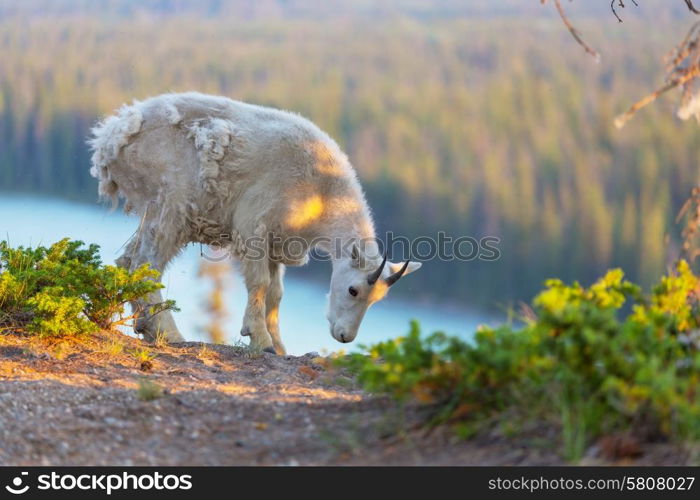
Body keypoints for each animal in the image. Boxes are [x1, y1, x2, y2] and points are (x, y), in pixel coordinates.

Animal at [91, 92, 422, 354]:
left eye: (377, 300)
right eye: (353, 290)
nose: (344, 336)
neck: (322, 191)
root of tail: (110, 138)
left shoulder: (278, 242)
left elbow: (276, 293)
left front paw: (280, 345)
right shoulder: (254, 227)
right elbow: (260, 284)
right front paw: (261, 341)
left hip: (154, 209)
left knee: (128, 260)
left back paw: (137, 325)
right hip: (171, 203)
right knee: (146, 265)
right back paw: (168, 333)